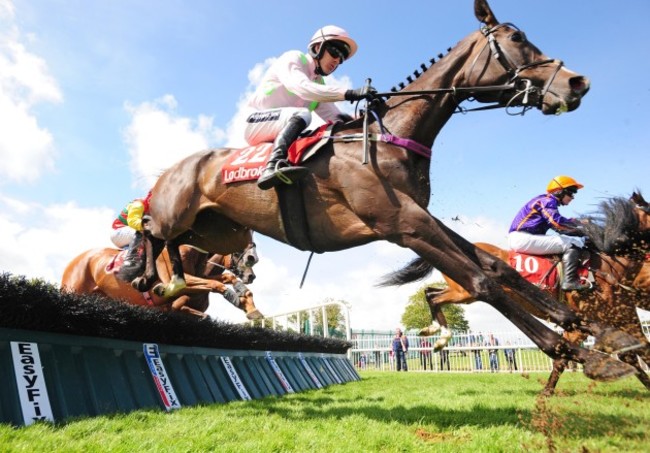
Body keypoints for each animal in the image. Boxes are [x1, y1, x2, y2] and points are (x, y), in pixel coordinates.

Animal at [60, 242, 264, 320]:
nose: (251, 275)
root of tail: (74, 261)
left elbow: (226, 278)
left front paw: (248, 304)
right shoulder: (177, 290)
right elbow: (213, 287)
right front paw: (239, 299)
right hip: (74, 290)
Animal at [420, 193, 648, 392]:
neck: (609, 267)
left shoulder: (608, 319)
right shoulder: (611, 317)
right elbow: (640, 349)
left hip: (461, 292)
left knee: (431, 293)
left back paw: (438, 330)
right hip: (465, 292)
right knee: (435, 295)